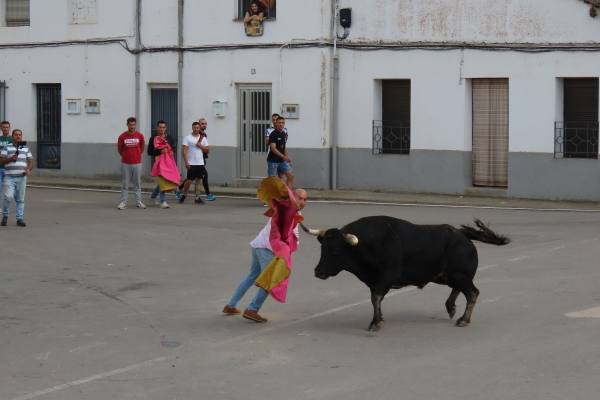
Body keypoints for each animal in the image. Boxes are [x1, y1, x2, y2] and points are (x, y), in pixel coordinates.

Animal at [302, 216, 508, 332]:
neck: (367, 243)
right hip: (448, 276)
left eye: (336, 251)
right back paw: (451, 308)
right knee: (459, 290)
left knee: (472, 292)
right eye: (322, 248)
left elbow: (376, 298)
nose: (318, 271)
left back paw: (463, 319)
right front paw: (379, 318)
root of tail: (462, 235)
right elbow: (375, 299)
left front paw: (375, 323)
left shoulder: (386, 278)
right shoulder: (374, 281)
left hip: (460, 275)